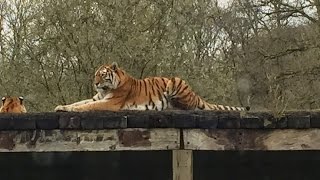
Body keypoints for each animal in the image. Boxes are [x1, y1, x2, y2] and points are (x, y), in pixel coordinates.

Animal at [55, 62, 249, 112]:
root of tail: (196, 94)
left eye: (102, 75)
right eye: (95, 74)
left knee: (189, 106)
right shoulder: (97, 97)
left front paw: (70, 110)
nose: (95, 83)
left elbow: (87, 106)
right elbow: (79, 102)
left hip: (175, 81)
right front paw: (60, 106)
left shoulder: (111, 102)